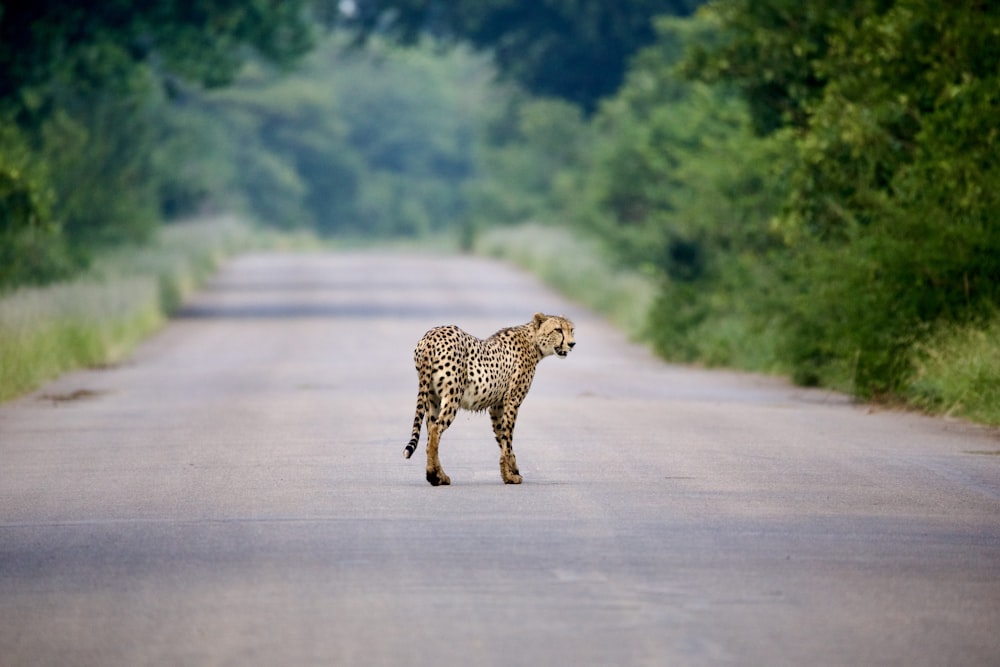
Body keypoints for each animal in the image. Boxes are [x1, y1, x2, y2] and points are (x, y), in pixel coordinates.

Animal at [404, 314, 580, 486]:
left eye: (571, 330)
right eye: (558, 330)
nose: (572, 344)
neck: (534, 342)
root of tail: (432, 335)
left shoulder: (497, 406)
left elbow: (502, 438)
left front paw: (512, 470)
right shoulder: (512, 401)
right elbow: (507, 439)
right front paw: (509, 477)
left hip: (432, 398)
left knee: (430, 431)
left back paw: (439, 475)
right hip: (452, 395)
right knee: (436, 429)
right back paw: (433, 476)